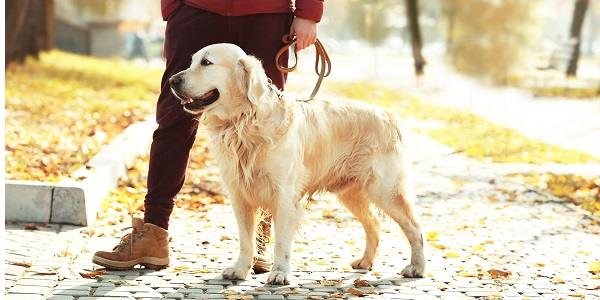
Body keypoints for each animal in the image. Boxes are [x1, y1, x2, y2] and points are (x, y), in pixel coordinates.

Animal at [169, 43, 426, 284]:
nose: (172, 80)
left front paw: (280, 273)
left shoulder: (284, 195)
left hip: (386, 190)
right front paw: (240, 269)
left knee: (415, 227)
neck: (245, 122)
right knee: (373, 223)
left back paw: (417, 267)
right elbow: (245, 239)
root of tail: (387, 115)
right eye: (192, 61)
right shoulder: (239, 195)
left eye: (206, 62)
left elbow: (281, 240)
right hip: (351, 192)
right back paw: (365, 261)